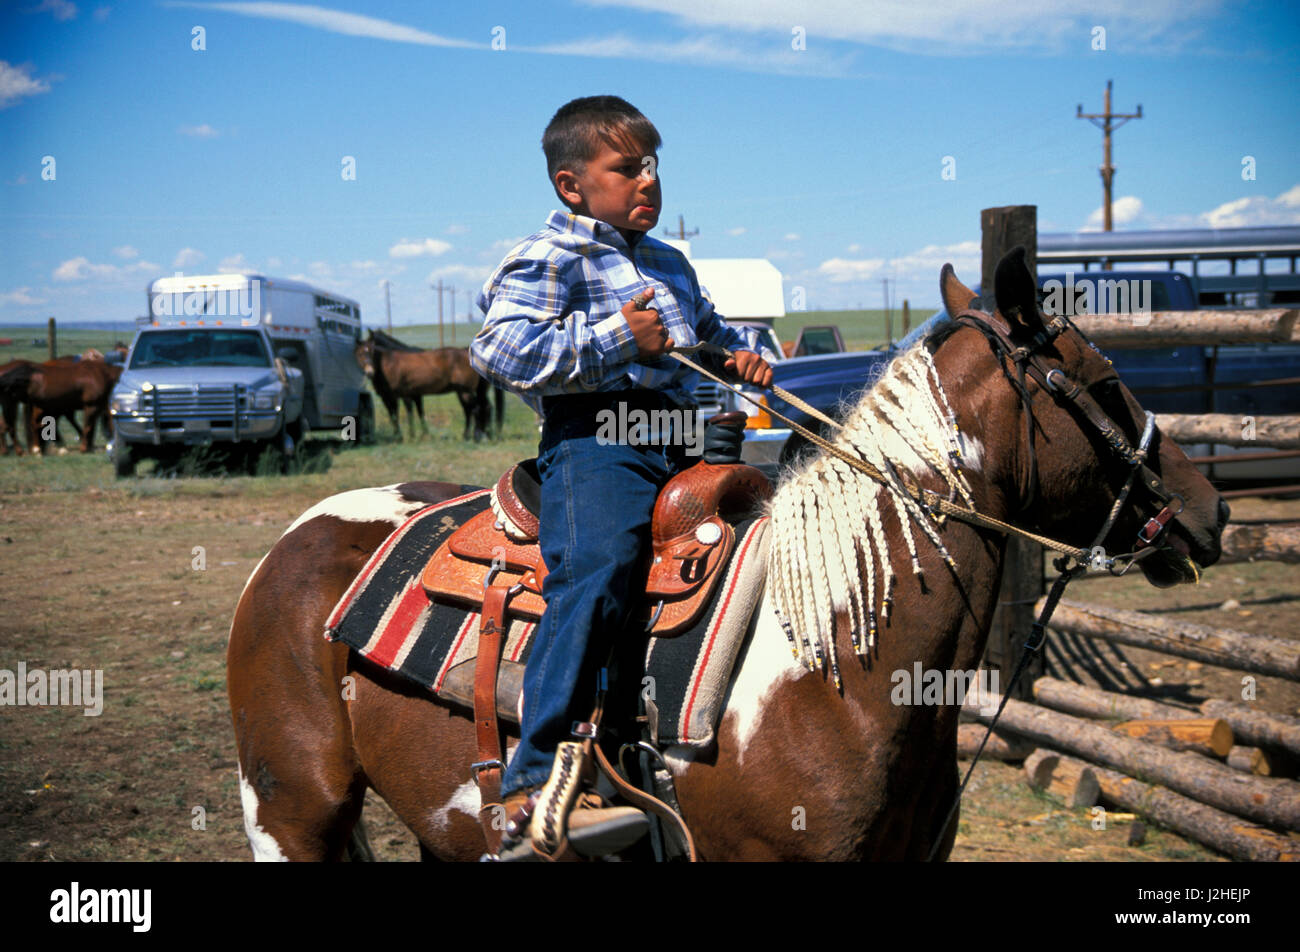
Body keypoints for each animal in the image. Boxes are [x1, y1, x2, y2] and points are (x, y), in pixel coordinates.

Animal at [353, 330, 488, 442]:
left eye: (372, 352)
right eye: (359, 354)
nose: (370, 372)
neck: (389, 365)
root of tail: (467, 353)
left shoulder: (403, 396)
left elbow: (407, 414)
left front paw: (410, 436)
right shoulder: (387, 398)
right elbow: (394, 416)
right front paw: (399, 437)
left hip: (466, 391)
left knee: (475, 409)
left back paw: (476, 437)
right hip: (462, 392)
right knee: (469, 411)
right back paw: (467, 436)